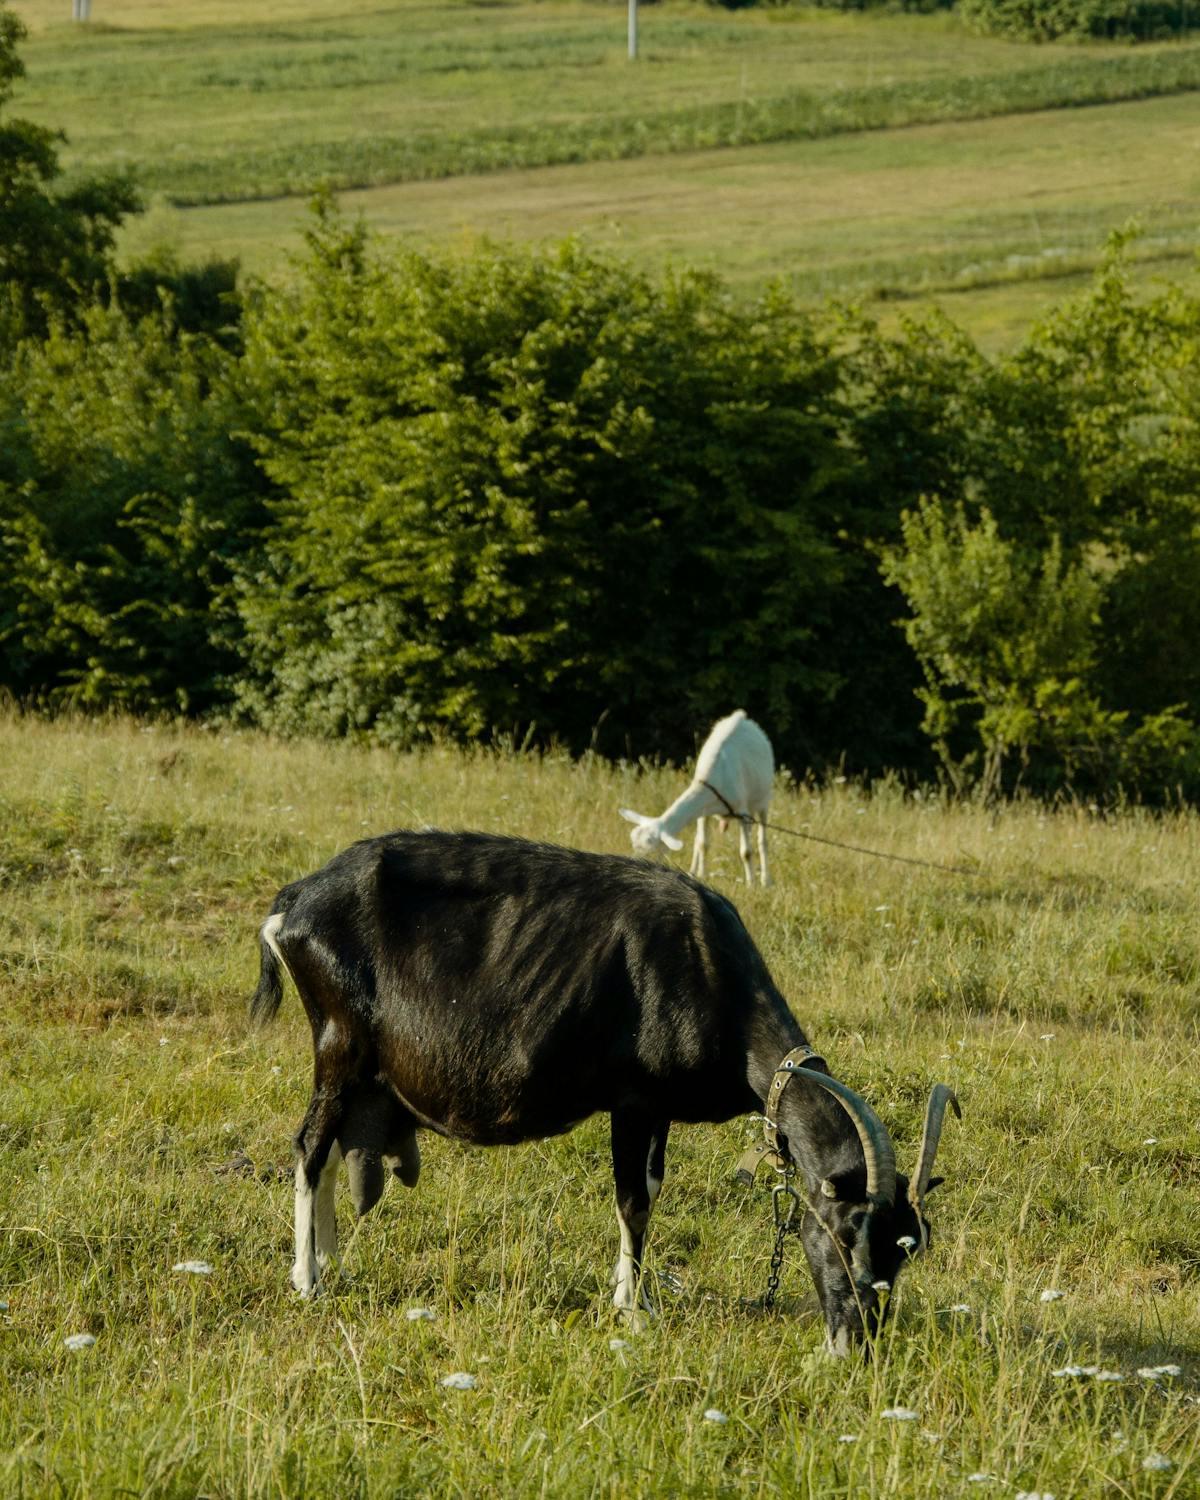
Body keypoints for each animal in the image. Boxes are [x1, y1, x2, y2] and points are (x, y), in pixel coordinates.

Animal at [253, 828, 954, 1356]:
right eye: (844, 1235)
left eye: (906, 1251)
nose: (853, 1344)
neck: (709, 971)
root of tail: (294, 902)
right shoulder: (633, 1099)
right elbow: (633, 1200)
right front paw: (633, 1311)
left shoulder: (661, 1108)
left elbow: (651, 1187)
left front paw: (634, 1297)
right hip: (338, 1042)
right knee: (309, 1147)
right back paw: (307, 1280)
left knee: (332, 1150)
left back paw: (334, 1264)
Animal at [624, 708, 774, 882]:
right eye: (634, 844)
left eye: (652, 850)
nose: (634, 867)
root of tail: (742, 716)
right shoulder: (703, 812)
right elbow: (702, 844)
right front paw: (701, 875)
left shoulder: (741, 812)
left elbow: (746, 852)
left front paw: (751, 883)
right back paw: (693, 871)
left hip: (763, 800)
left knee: (762, 841)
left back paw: (766, 880)